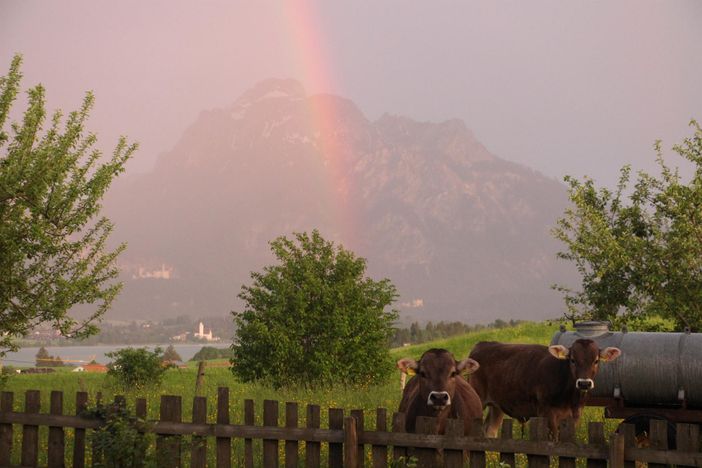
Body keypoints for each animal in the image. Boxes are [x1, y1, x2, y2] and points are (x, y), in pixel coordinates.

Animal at [470, 340, 624, 438]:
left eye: (596, 361)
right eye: (572, 360)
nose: (584, 384)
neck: (569, 398)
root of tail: (482, 344)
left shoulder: (575, 415)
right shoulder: (547, 413)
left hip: (497, 406)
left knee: (489, 431)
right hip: (477, 397)